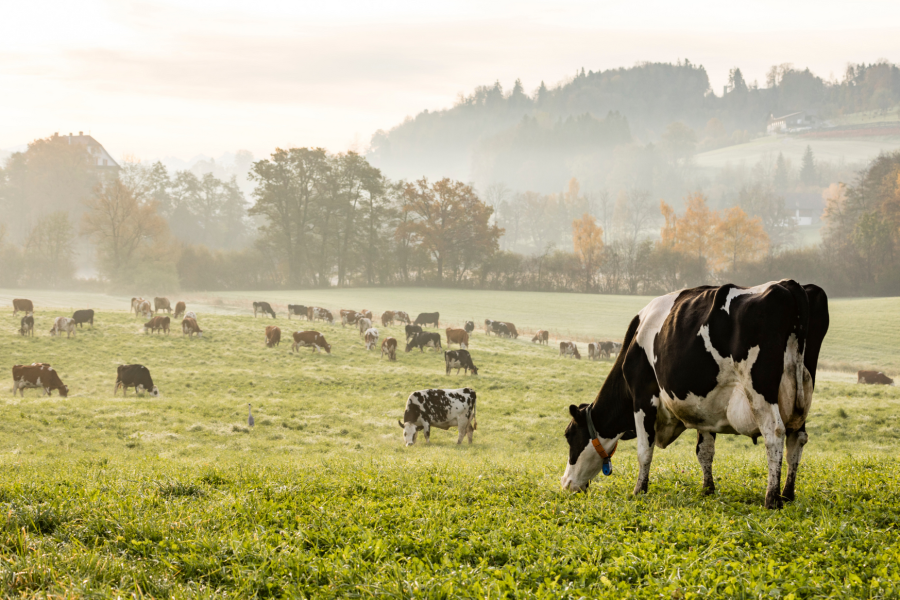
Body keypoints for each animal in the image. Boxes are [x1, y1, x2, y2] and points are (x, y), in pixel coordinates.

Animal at [564, 278, 828, 508]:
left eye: (569, 435)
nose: (565, 483)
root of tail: (788, 284)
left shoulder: (642, 396)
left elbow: (644, 450)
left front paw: (639, 490)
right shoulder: (705, 408)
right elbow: (705, 451)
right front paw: (707, 489)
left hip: (760, 390)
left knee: (774, 433)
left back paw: (772, 499)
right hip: (802, 394)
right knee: (797, 438)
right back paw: (788, 494)